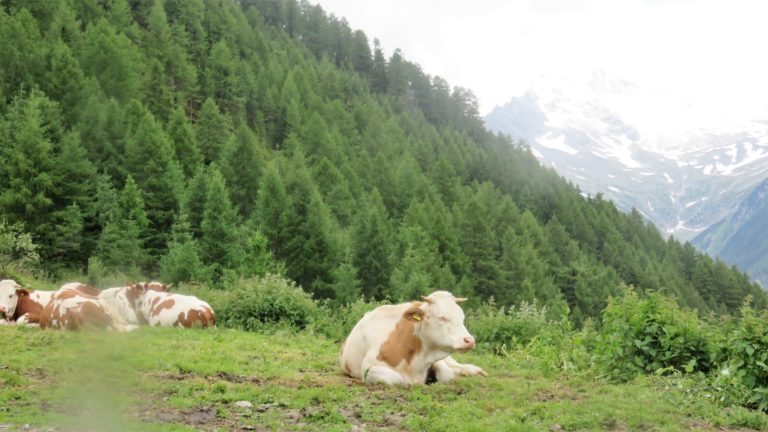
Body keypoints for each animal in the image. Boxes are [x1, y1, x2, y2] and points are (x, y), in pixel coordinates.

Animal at [338, 290, 484, 384]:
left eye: (462, 317)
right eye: (441, 317)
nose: (470, 340)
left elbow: (446, 374)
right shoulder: (369, 367)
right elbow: (398, 379)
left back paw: (476, 371)